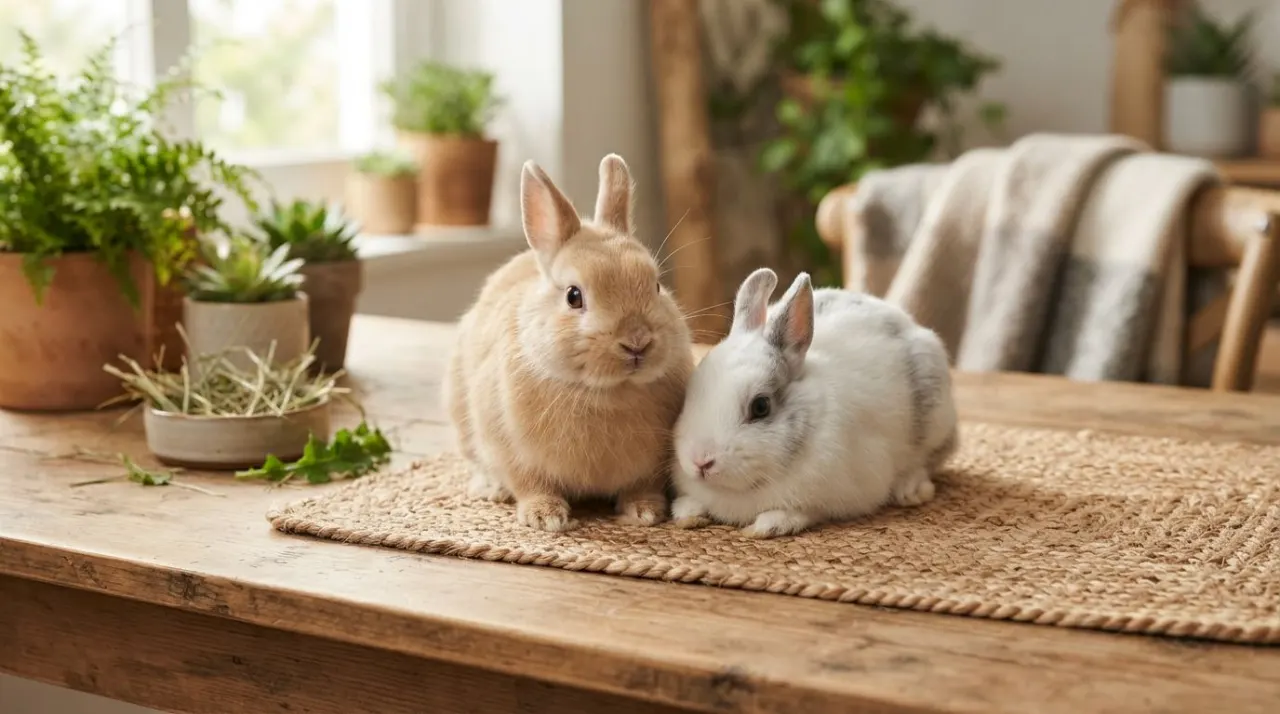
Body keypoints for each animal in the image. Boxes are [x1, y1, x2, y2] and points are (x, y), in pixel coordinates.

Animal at [442, 154, 694, 532]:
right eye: (574, 296)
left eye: (657, 286)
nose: (637, 342)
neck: (607, 392)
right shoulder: (511, 449)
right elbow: (530, 483)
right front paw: (545, 517)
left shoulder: (650, 463)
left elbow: (642, 486)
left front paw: (646, 512)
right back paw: (490, 489)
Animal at [669, 267, 958, 539]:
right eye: (690, 392)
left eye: (760, 406)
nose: (700, 462)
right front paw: (687, 513)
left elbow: (804, 512)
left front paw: (768, 526)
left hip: (935, 421)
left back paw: (911, 490)